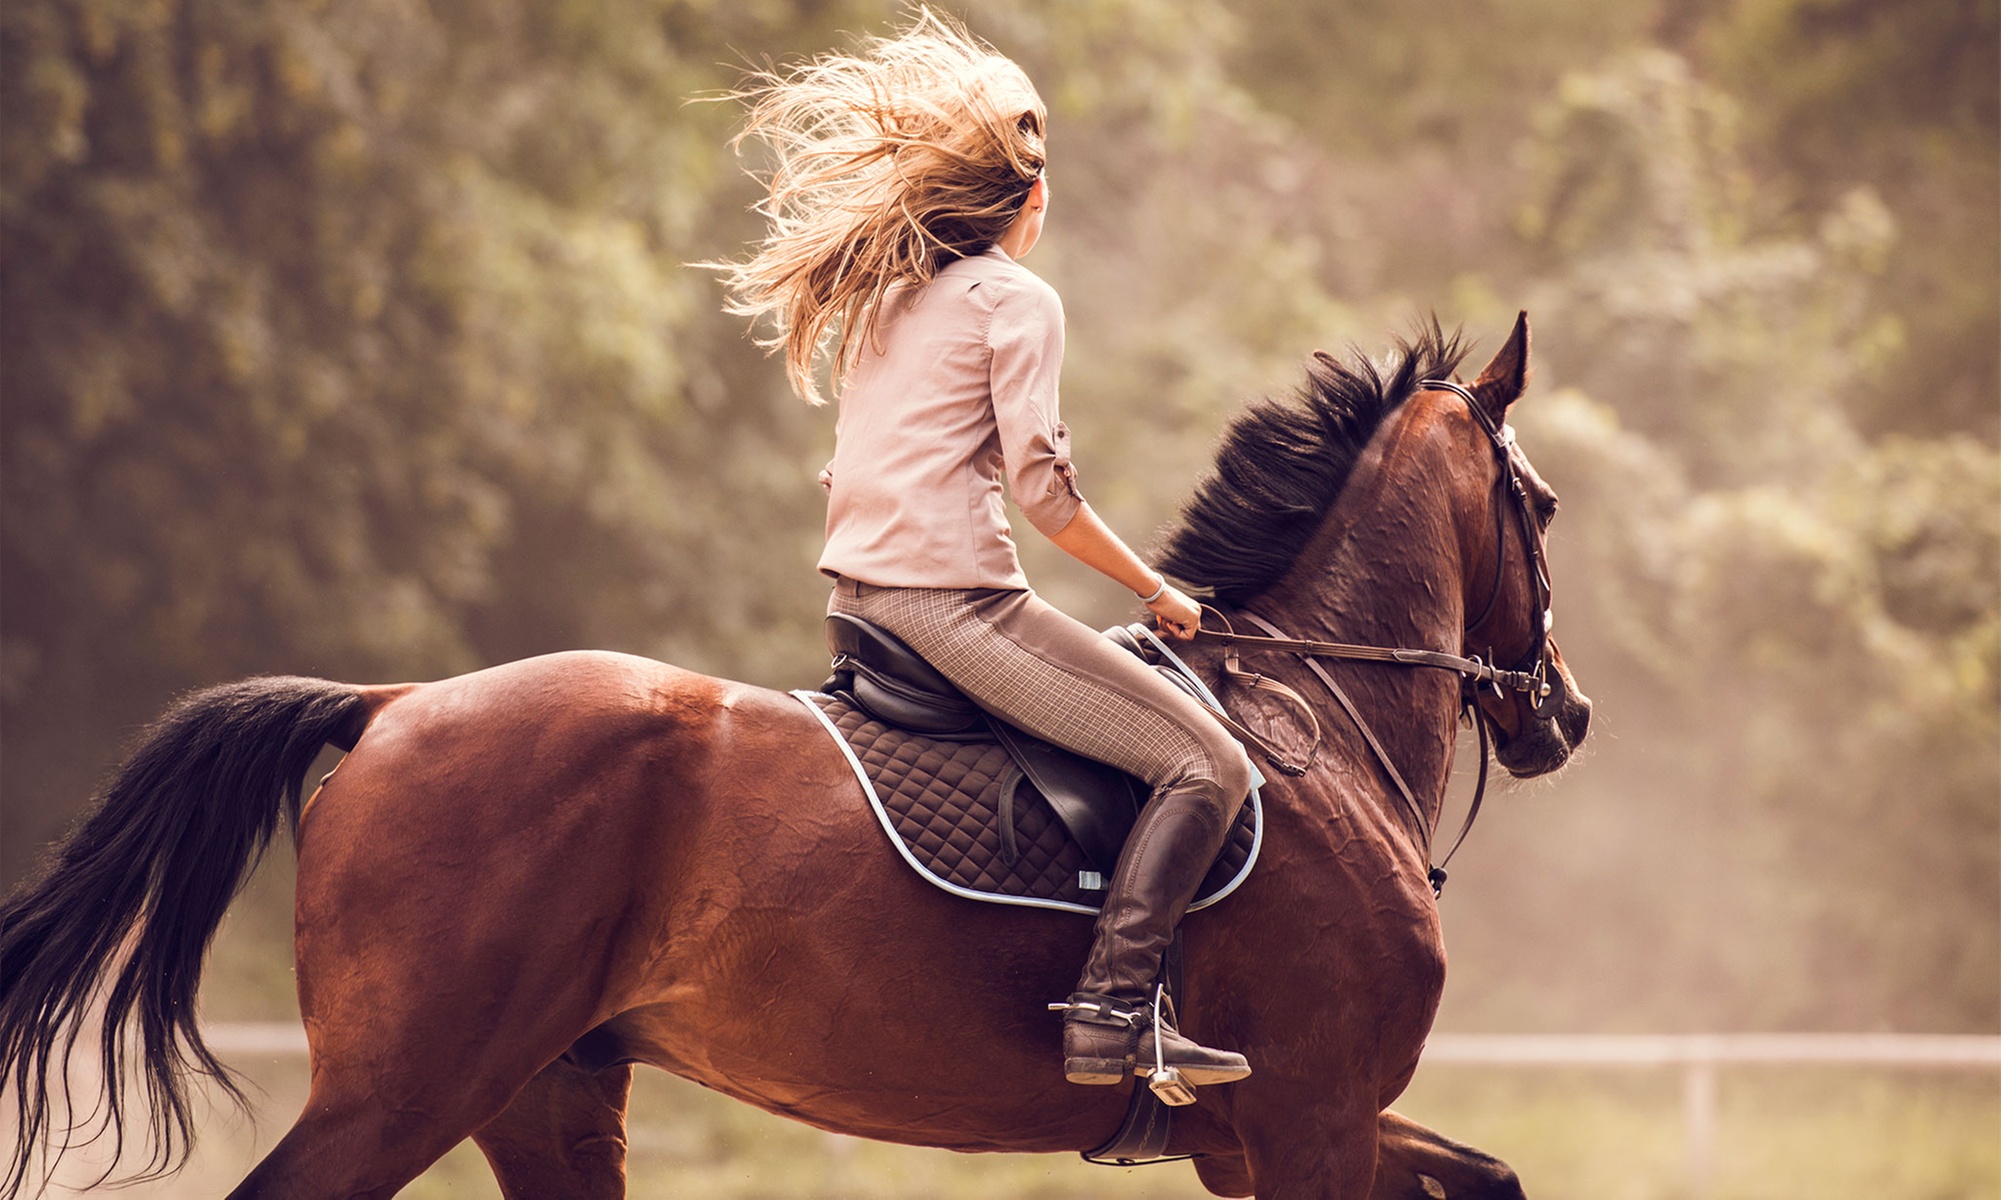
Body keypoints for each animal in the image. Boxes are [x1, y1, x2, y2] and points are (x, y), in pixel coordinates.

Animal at [0, 314, 1591, 1199]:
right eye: (1547, 506)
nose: (1562, 715)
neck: (1310, 715)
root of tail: (394, 704)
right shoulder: (1311, 1119)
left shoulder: (1264, 1135)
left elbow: (1500, 1177)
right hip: (409, 1090)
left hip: (546, 1092)